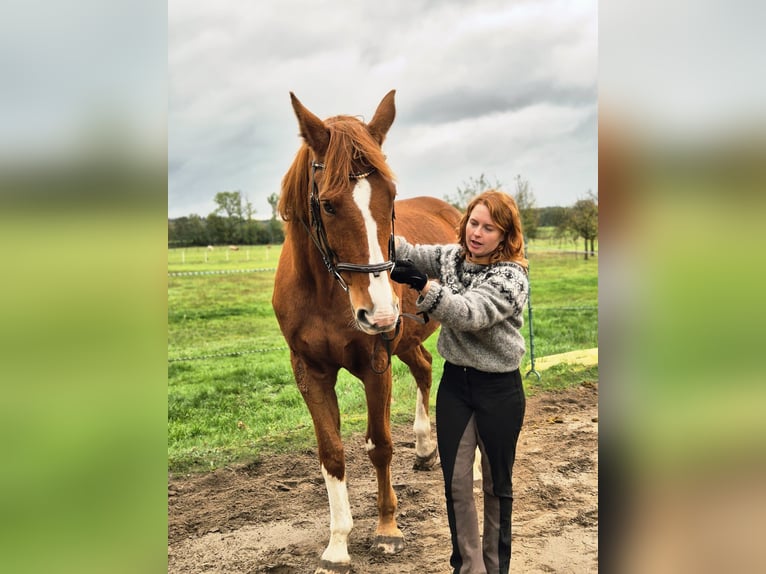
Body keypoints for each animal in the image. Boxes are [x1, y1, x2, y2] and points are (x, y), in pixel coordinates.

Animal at [272, 90, 461, 574]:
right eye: (327, 204)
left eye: (391, 195)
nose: (378, 313)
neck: (325, 291)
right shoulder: (310, 372)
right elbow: (332, 454)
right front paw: (338, 544)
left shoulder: (377, 364)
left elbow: (380, 446)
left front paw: (387, 530)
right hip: (405, 340)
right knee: (424, 366)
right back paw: (424, 449)